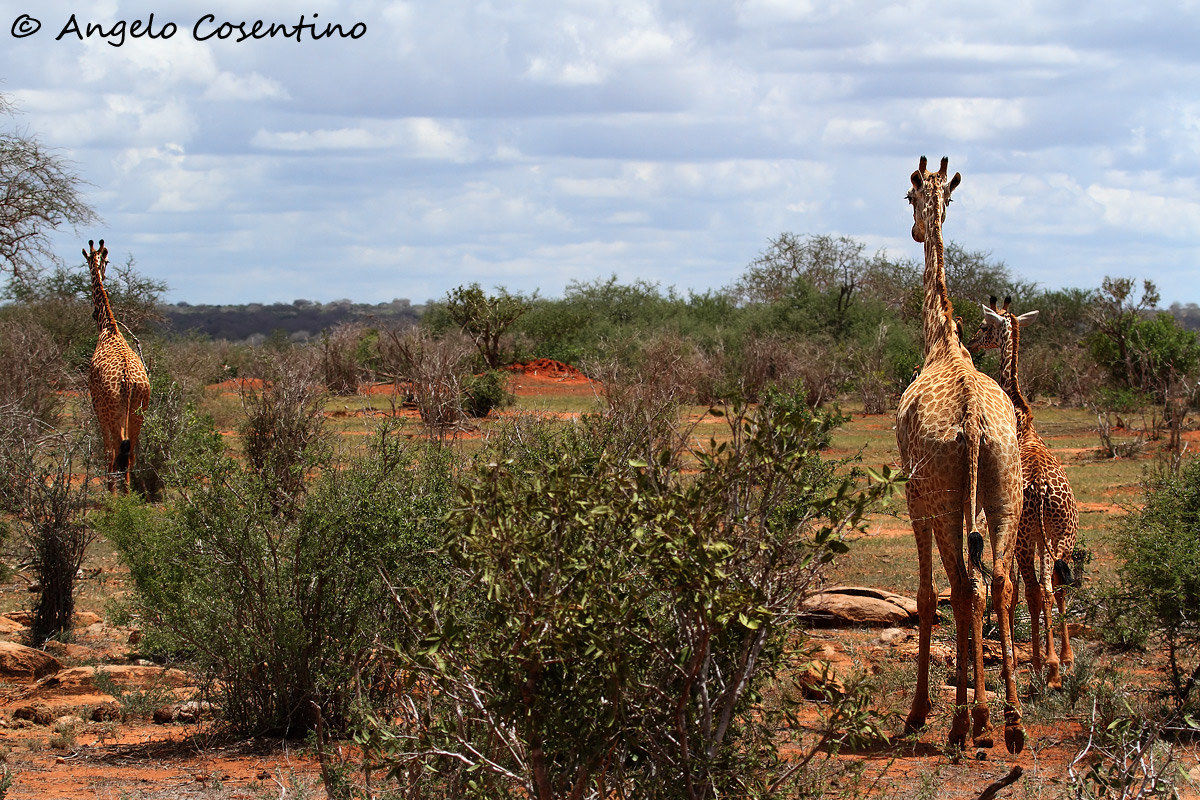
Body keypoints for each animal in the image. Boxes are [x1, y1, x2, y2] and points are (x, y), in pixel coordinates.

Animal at [85, 239, 151, 493]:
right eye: (105, 262)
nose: (102, 272)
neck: (108, 327)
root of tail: (130, 382)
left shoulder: (98, 407)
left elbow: (106, 452)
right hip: (138, 411)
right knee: (130, 452)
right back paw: (129, 494)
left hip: (113, 412)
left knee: (115, 451)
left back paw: (113, 494)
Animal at [968, 296, 1079, 689]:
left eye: (984, 326)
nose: (972, 342)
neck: (1023, 421)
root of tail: (1046, 493)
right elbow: (1049, 587)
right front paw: (1049, 656)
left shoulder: (1016, 533)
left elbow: (1015, 589)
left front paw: (1024, 657)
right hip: (1062, 534)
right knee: (1056, 585)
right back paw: (1062, 661)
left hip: (1030, 535)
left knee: (1035, 589)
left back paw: (1046, 666)